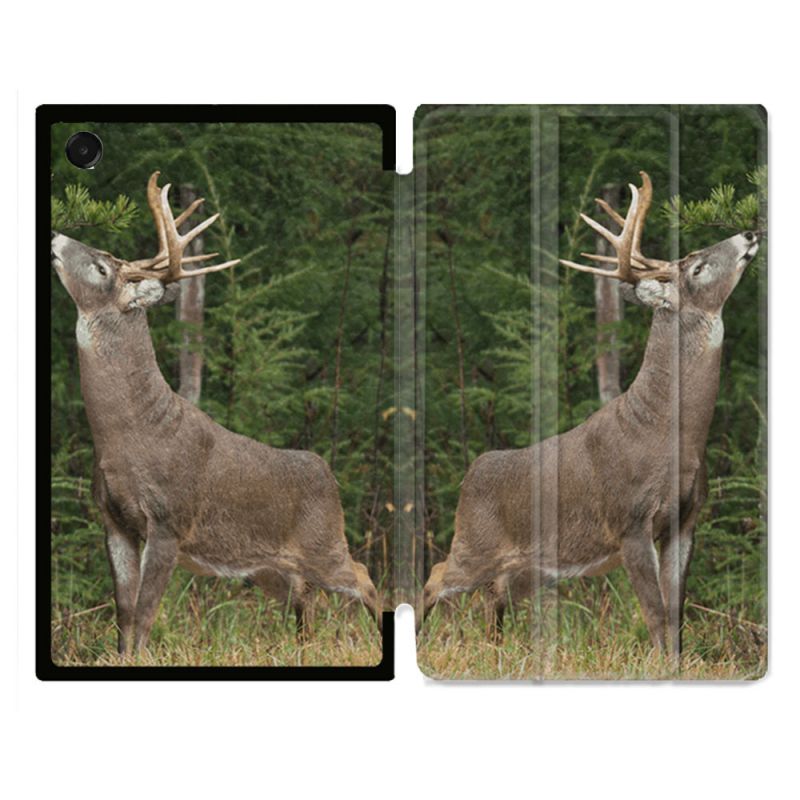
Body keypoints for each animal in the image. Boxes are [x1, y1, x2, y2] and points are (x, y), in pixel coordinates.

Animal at [51, 172, 381, 655]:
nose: (55, 236)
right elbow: (124, 612)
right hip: (268, 566)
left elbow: (146, 612)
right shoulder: (112, 520)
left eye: (102, 268)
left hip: (324, 542)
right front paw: (120, 658)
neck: (129, 434)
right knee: (306, 598)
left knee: (364, 578)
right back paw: (302, 648)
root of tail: (329, 474)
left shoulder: (168, 521)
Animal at [417, 171, 759, 659]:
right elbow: (655, 613)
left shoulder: (688, 518)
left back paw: (496, 650)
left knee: (492, 596)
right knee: (435, 576)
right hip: (474, 540)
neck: (667, 431)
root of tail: (471, 474)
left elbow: (677, 611)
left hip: (524, 567)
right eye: (696, 267)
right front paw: (659, 665)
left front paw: (678, 663)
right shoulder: (630, 520)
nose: (749, 233)